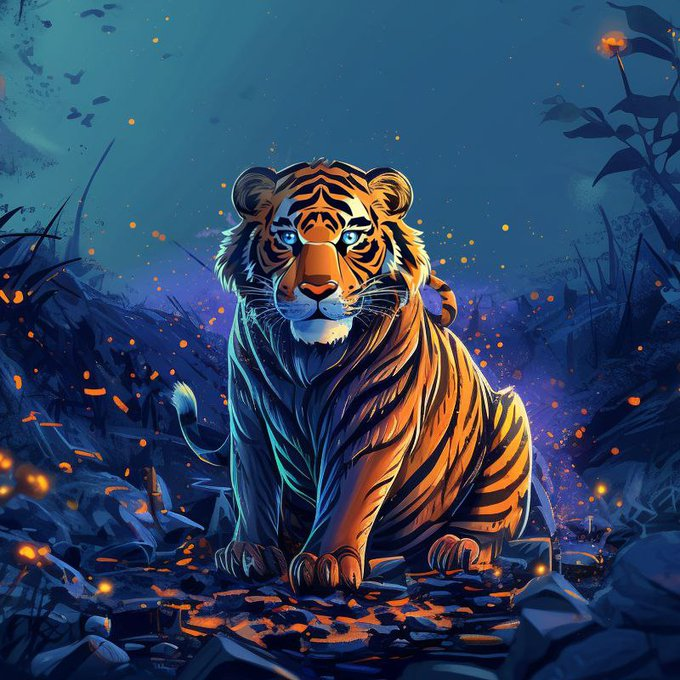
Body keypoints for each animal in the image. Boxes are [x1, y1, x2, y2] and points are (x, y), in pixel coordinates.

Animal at [172, 159, 532, 593]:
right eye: (288, 237)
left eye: (351, 237)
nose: (317, 290)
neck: (308, 358)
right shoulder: (249, 414)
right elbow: (252, 483)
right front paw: (249, 552)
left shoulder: (373, 418)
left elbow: (349, 494)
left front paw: (323, 561)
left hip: (511, 412)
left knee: (494, 521)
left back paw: (457, 546)